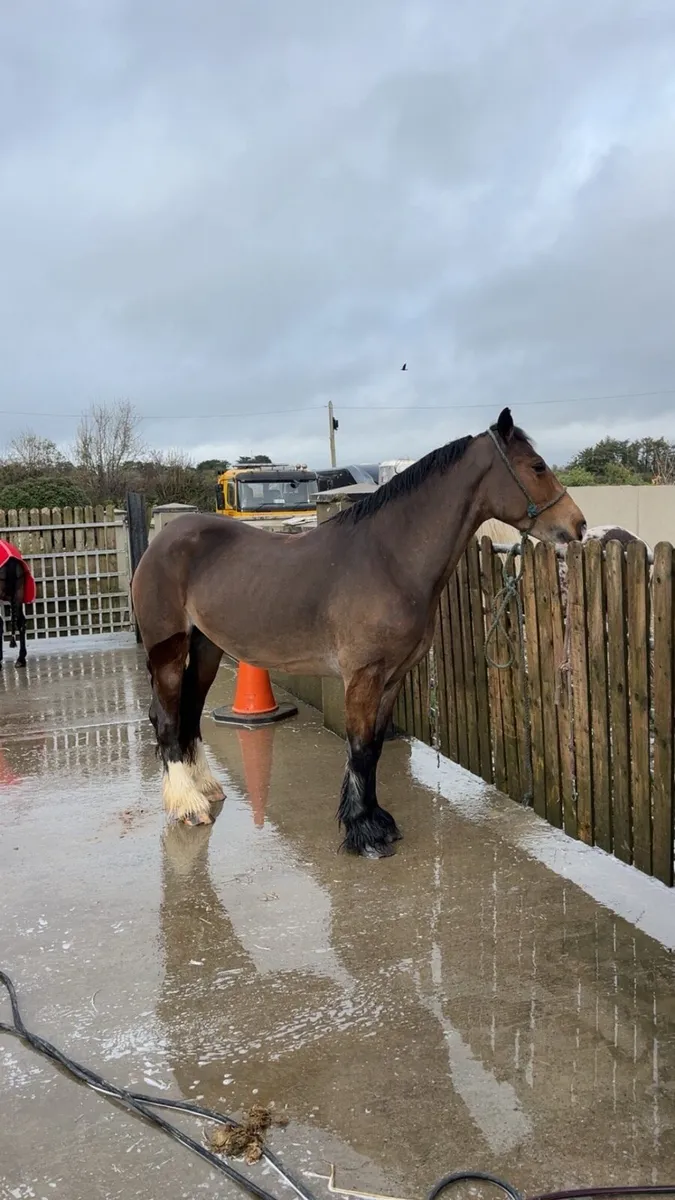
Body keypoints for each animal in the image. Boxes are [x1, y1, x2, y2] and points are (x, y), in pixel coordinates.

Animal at [131, 407, 586, 858]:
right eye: (537, 466)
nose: (578, 526)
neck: (387, 559)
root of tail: (162, 541)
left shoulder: (392, 677)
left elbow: (374, 750)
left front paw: (376, 821)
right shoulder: (364, 676)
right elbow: (360, 747)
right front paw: (363, 832)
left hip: (206, 648)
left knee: (189, 712)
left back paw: (205, 788)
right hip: (169, 649)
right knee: (168, 718)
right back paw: (188, 805)